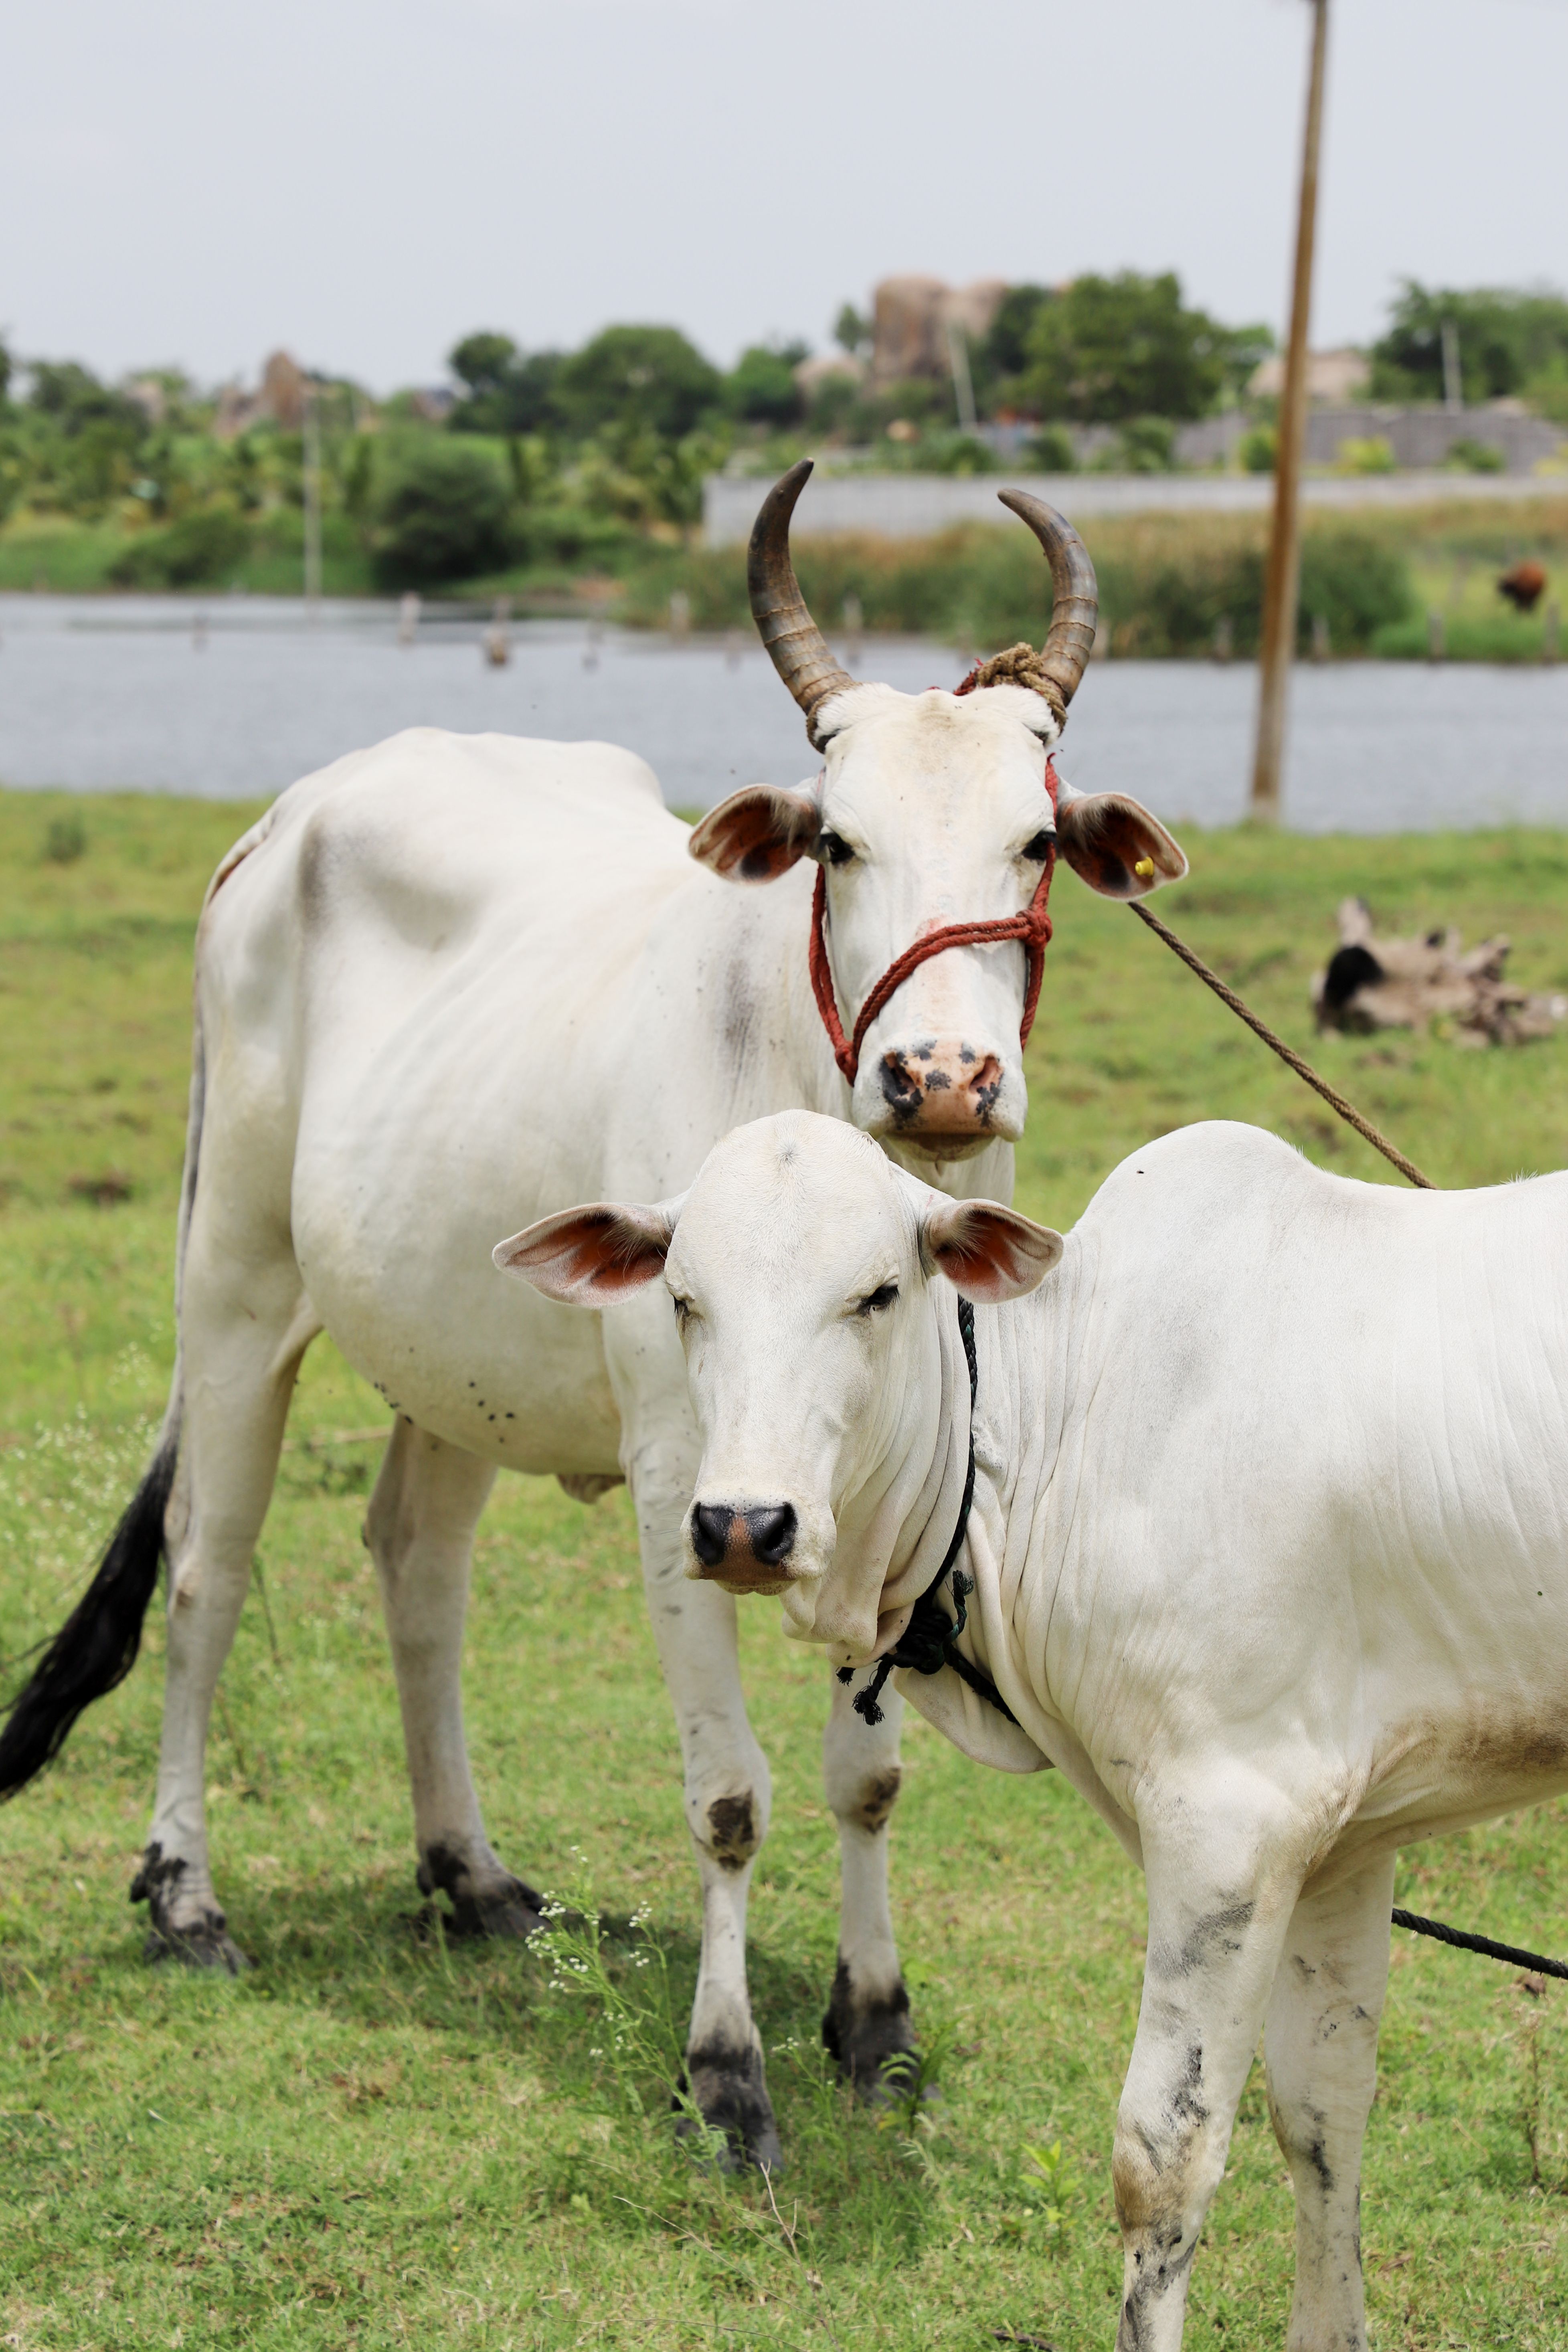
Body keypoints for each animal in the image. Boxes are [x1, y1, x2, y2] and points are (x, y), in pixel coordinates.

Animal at [0, 464, 1185, 2170]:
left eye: (1034, 840)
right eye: (839, 841)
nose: (944, 1079)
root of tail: (282, 823)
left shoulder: (887, 1489)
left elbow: (868, 1773)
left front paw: (873, 2021)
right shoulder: (682, 1486)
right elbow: (731, 1795)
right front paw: (727, 2073)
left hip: (450, 1345)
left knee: (416, 1568)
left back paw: (470, 1871)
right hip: (231, 1286)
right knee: (205, 1572)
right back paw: (183, 1896)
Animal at [505, 1108, 1568, 2346]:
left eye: (877, 1293)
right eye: (683, 1299)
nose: (741, 1525)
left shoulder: (1228, 1822)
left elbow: (1162, 2159)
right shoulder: (1341, 1839)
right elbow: (1320, 2117)